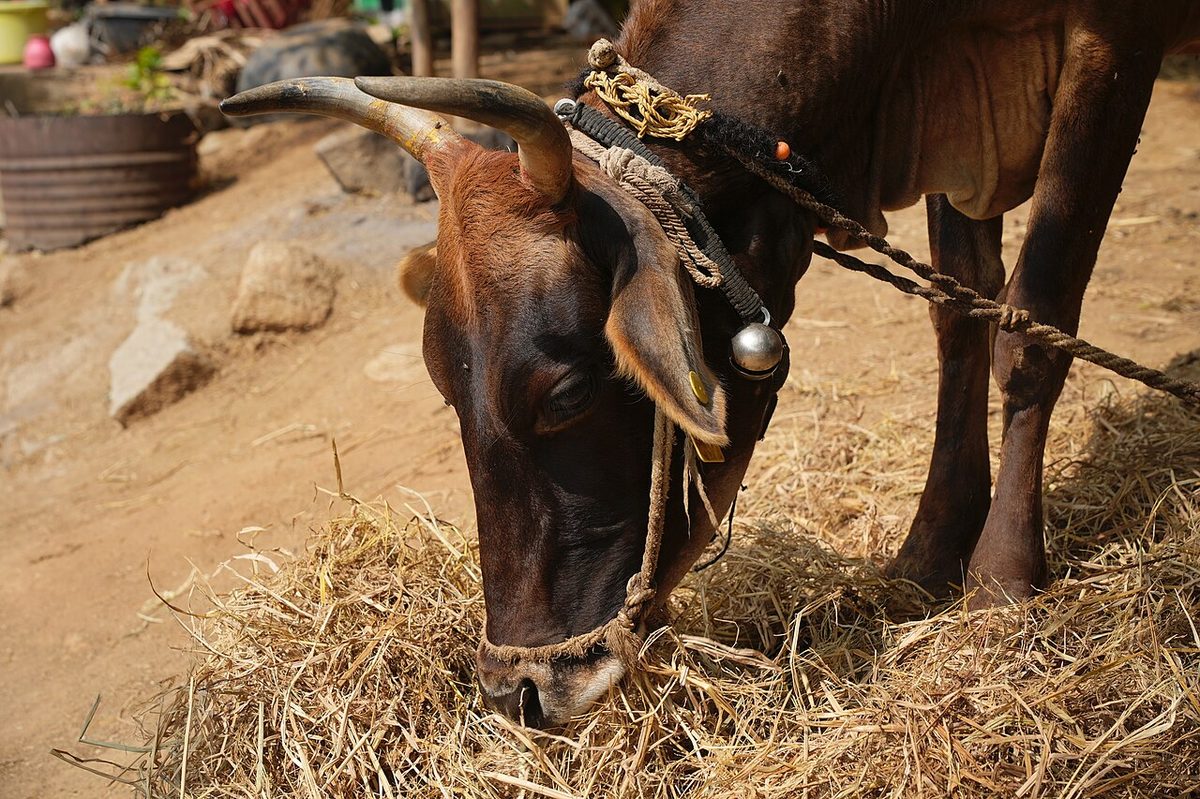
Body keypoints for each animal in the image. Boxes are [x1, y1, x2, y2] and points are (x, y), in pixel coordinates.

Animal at [222, 0, 1200, 727]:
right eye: (445, 389)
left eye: (569, 391)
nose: (519, 690)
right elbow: (958, 313)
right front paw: (930, 548)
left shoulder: (1114, 41)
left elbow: (1031, 323)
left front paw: (1001, 581)